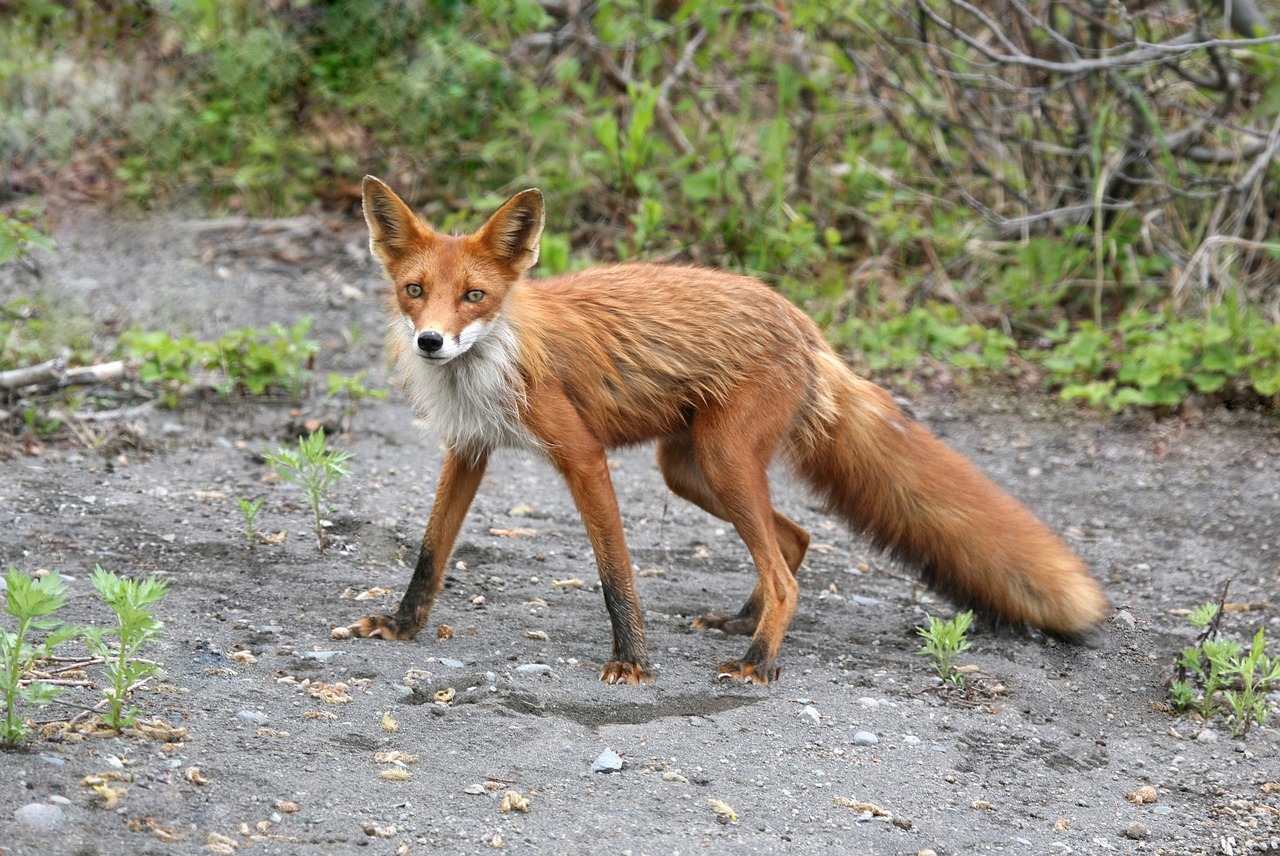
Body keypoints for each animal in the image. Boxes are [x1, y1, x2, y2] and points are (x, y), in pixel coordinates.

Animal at [350, 176, 1111, 685]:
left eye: (474, 296)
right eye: (415, 291)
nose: (430, 342)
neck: (495, 358)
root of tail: (804, 325)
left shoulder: (583, 456)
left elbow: (615, 573)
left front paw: (632, 661)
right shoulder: (469, 449)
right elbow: (430, 553)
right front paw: (402, 624)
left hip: (720, 460)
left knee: (786, 574)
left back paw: (758, 660)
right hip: (688, 469)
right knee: (794, 541)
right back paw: (746, 622)